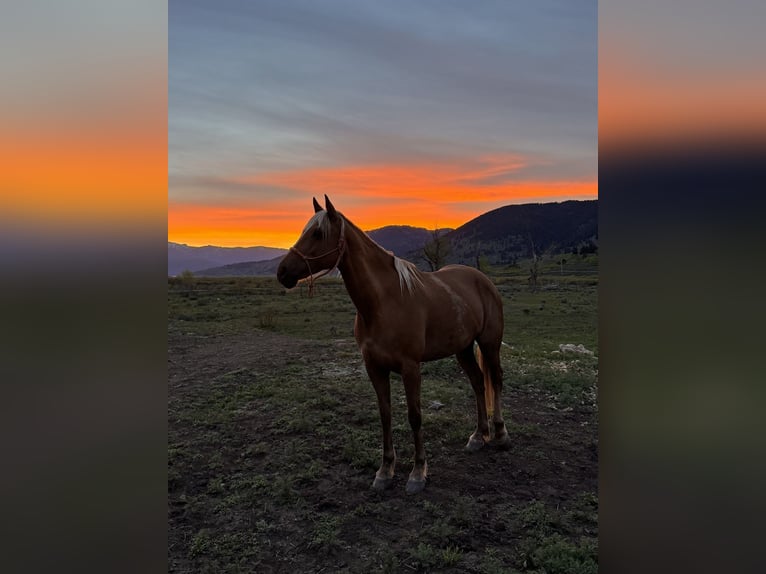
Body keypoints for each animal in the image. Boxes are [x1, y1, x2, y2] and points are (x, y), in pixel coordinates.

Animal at [277, 195, 510, 494]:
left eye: (317, 233)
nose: (282, 272)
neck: (383, 303)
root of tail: (483, 280)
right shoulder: (375, 368)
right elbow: (385, 415)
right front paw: (385, 470)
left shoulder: (410, 368)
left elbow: (414, 416)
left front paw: (418, 472)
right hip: (463, 349)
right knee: (479, 383)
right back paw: (478, 436)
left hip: (489, 343)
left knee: (497, 379)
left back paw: (500, 434)